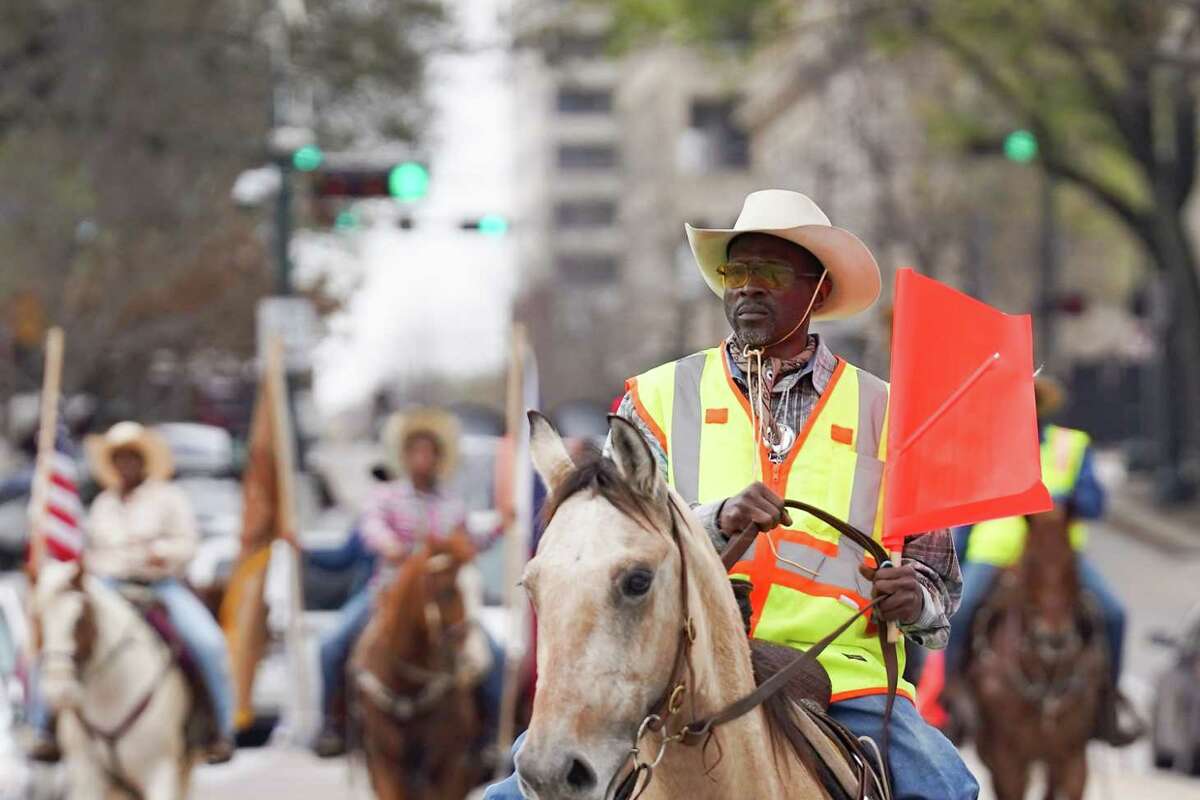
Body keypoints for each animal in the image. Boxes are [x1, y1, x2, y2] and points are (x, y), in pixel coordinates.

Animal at [32, 561, 196, 800]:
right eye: (37, 618)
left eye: (80, 619)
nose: (59, 690)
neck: (111, 695)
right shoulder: (85, 775)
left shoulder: (161, 771)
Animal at [348, 532, 482, 800]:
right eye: (447, 592)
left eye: (479, 589)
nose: (476, 658)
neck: (407, 692)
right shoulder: (385, 768)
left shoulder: (451, 770)